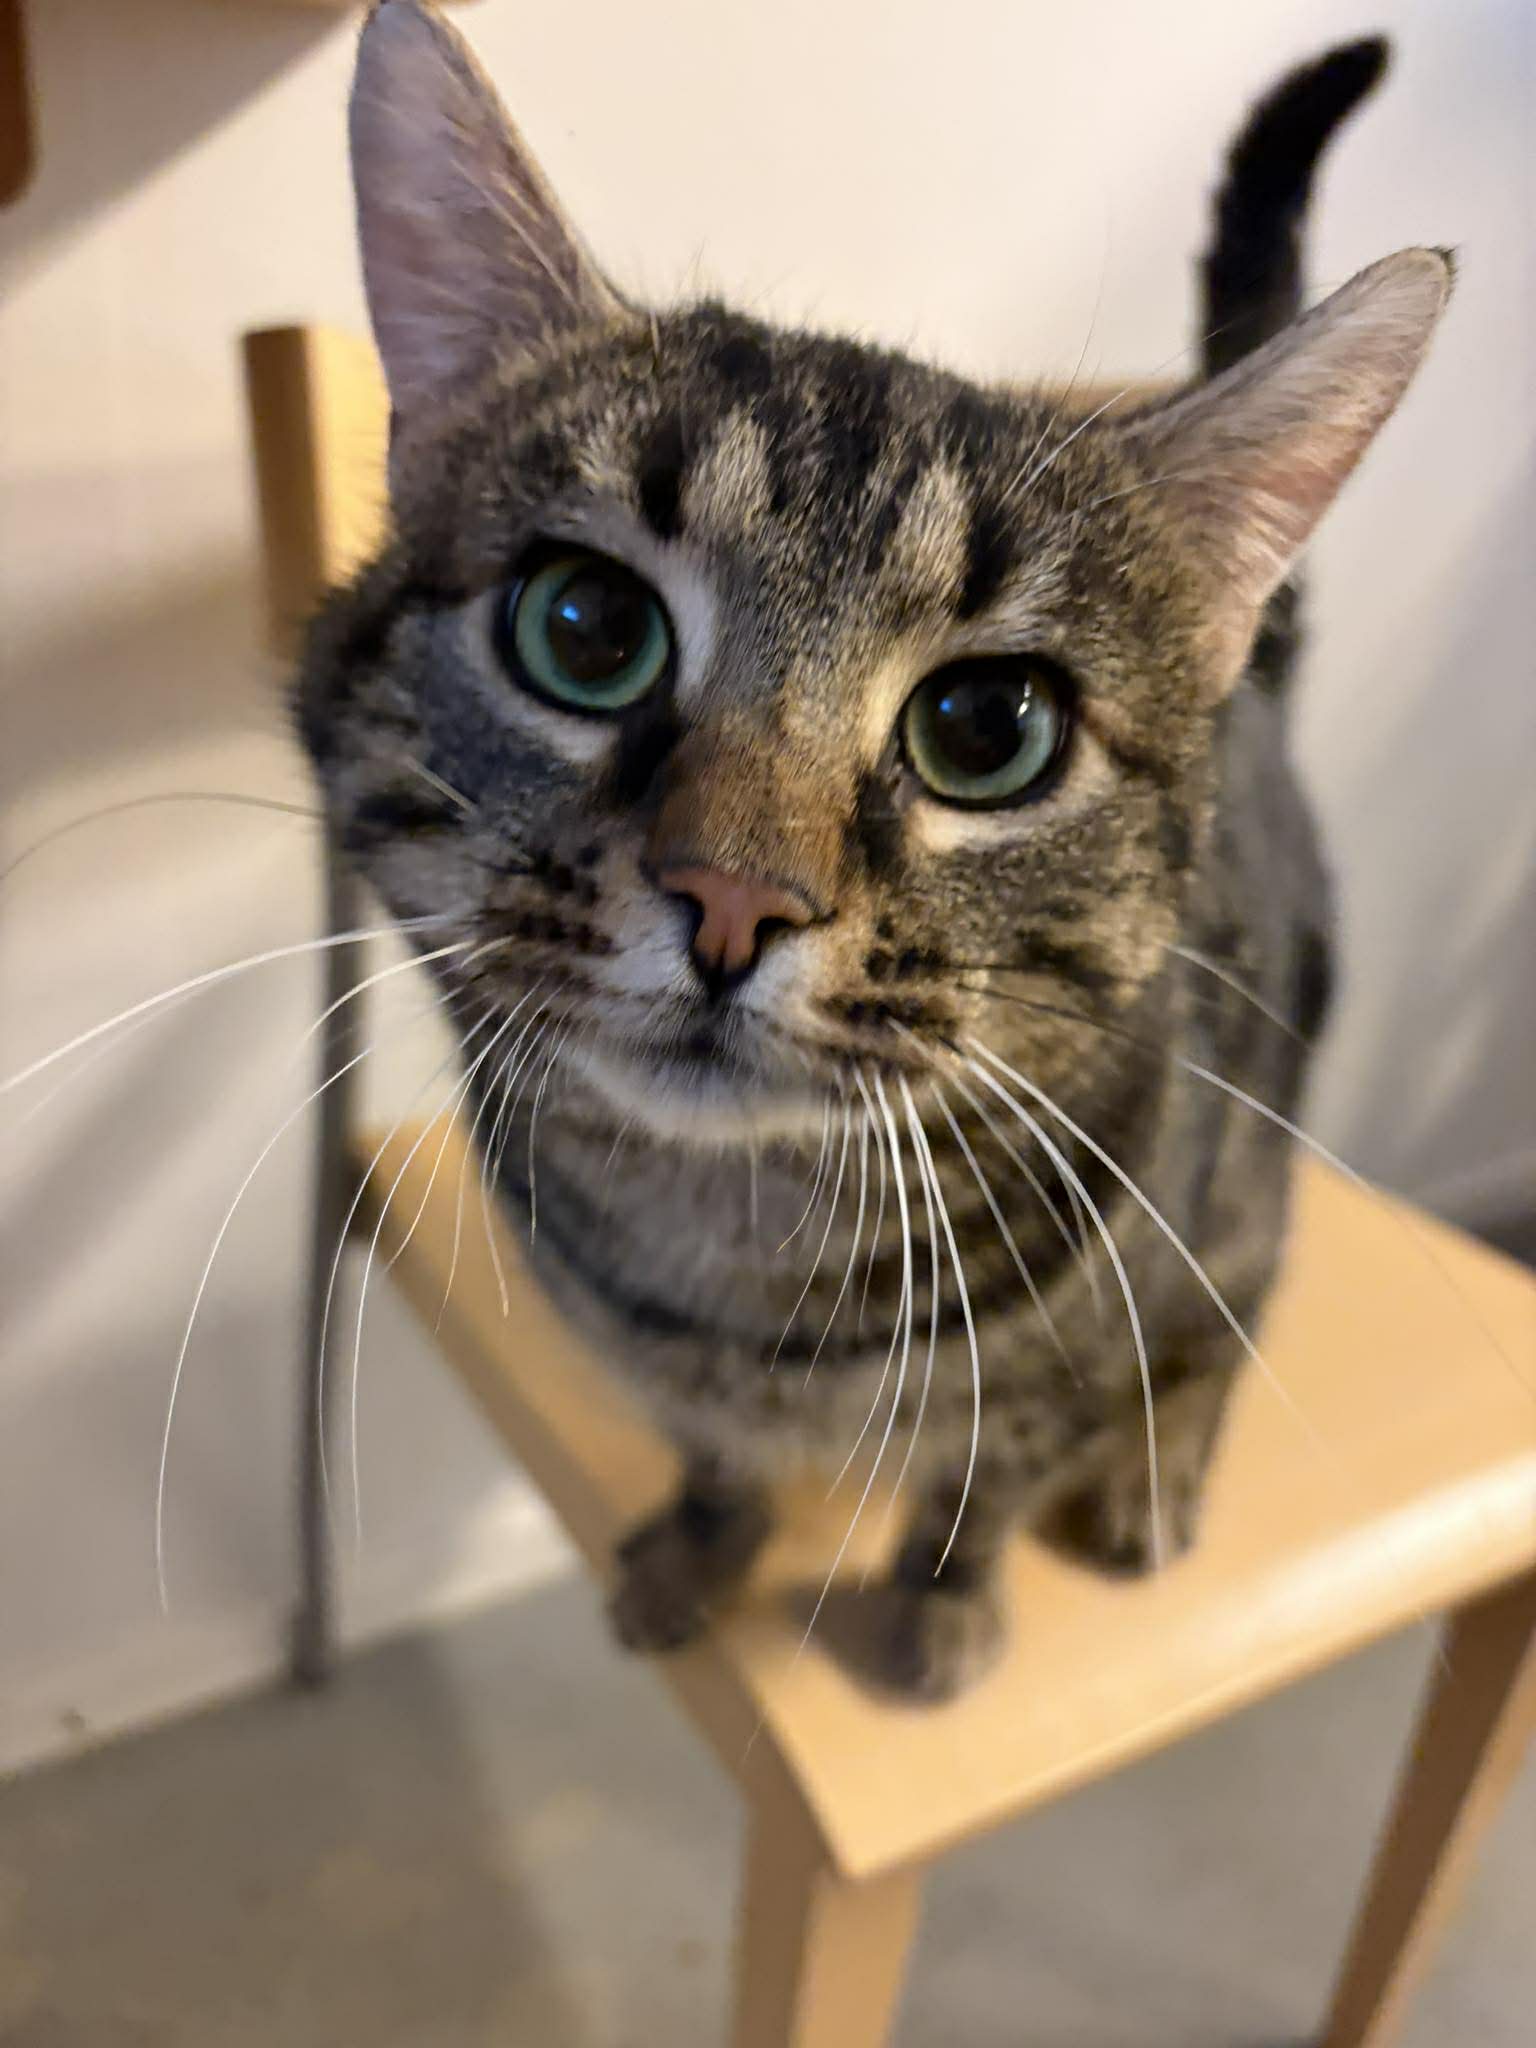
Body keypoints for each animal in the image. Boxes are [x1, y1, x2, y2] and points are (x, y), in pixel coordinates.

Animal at [300, 4, 1449, 1699]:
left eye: (987, 728)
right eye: (585, 628)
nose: (733, 895)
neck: (736, 1253)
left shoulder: (1077, 1328)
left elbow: (998, 1458)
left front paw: (942, 1602)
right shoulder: (652, 1360)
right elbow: (713, 1458)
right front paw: (699, 1549)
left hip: (1251, 1169)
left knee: (1227, 1318)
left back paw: (1154, 1476)